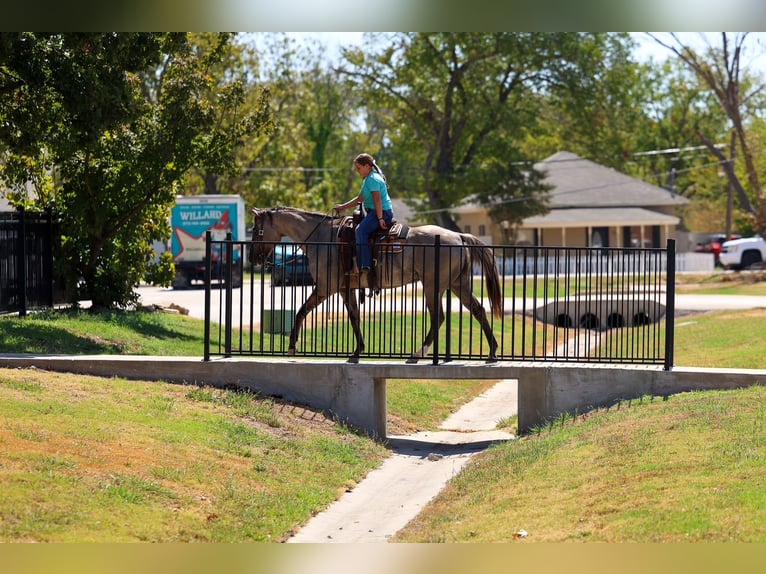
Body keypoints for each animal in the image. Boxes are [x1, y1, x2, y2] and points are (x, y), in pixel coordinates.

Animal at [251, 206, 503, 364]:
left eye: (256, 230)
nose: (254, 259)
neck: (322, 237)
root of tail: (459, 236)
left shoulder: (325, 287)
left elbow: (302, 311)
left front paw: (292, 346)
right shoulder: (345, 289)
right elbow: (354, 317)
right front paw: (357, 352)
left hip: (434, 286)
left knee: (438, 317)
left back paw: (417, 353)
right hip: (459, 284)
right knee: (479, 310)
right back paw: (492, 351)